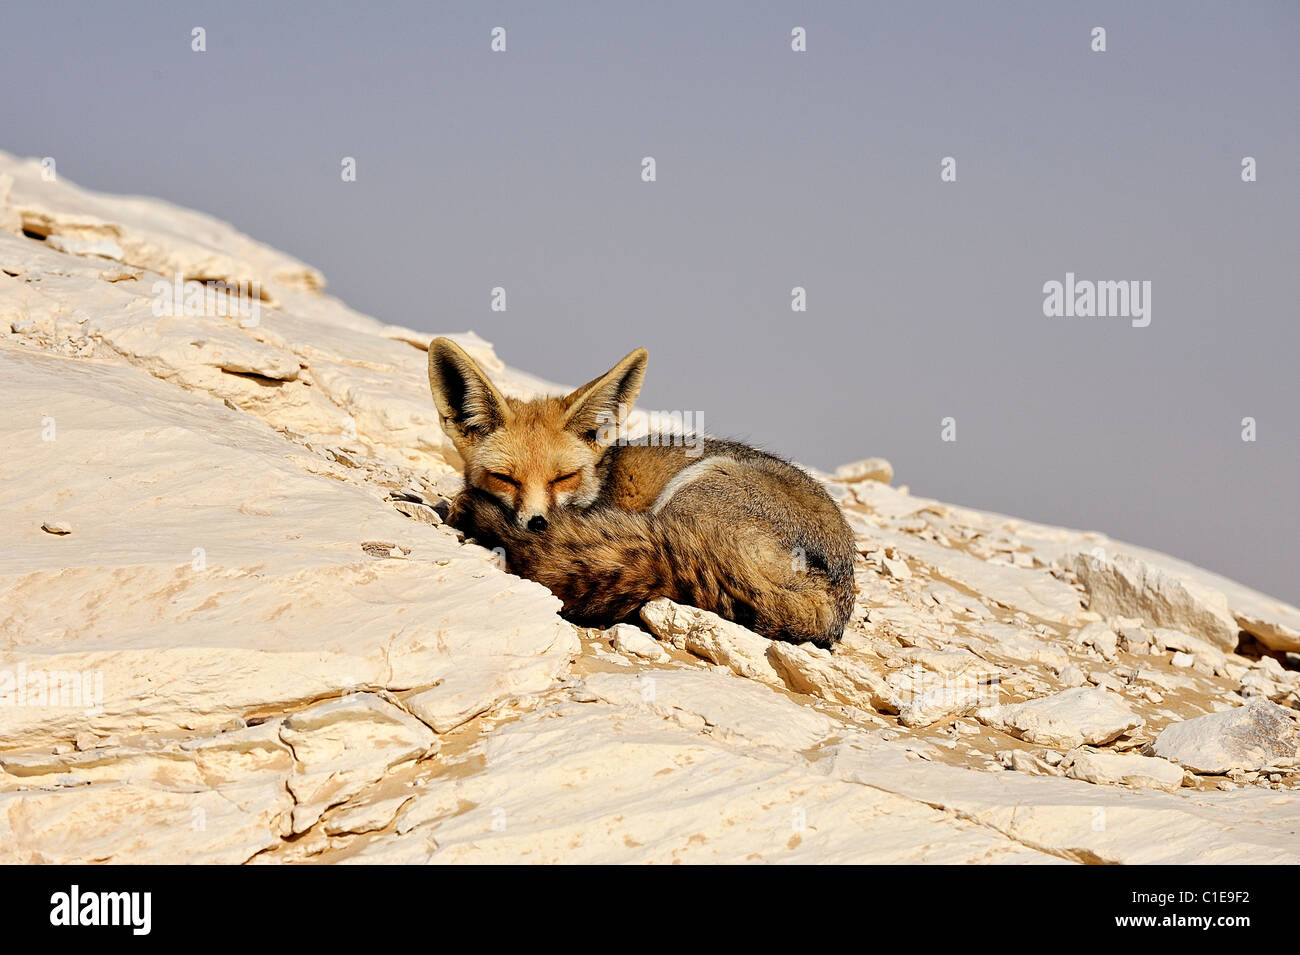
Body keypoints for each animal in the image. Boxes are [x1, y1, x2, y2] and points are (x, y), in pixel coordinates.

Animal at [423, 337, 863, 649]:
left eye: (563, 477)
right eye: (505, 478)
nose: (536, 525)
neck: (602, 481)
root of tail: (836, 598)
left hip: (696, 486)